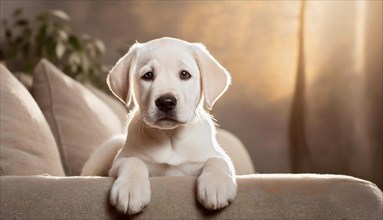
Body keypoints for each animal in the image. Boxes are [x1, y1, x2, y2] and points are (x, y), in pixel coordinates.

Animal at [81, 37, 237, 215]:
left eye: (185, 74)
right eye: (148, 75)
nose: (166, 102)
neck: (170, 137)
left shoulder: (213, 157)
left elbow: (217, 160)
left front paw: (218, 185)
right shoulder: (119, 162)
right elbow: (133, 161)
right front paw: (130, 189)